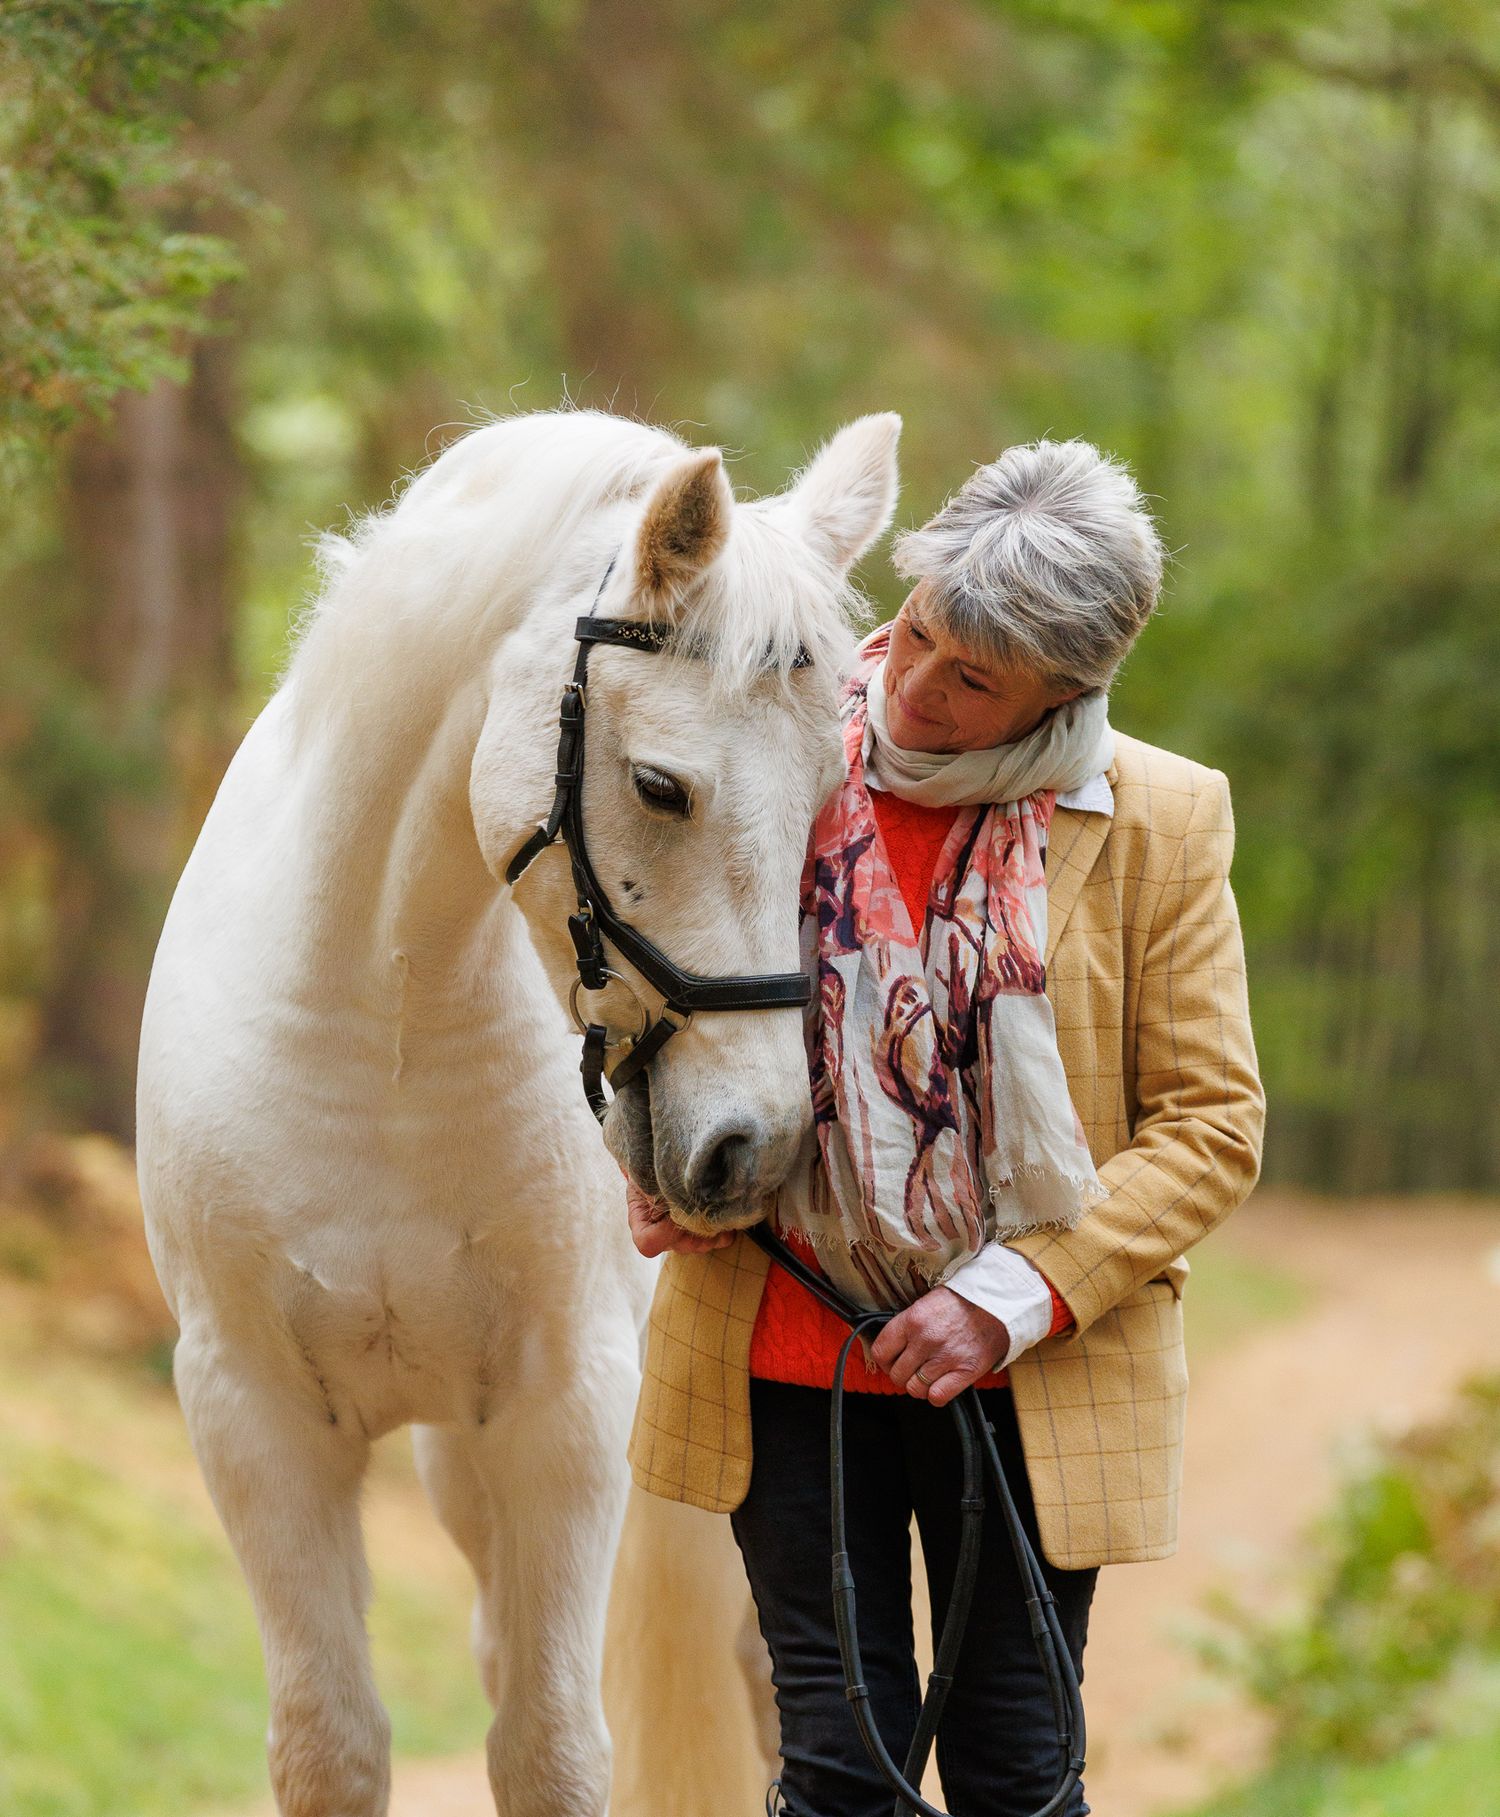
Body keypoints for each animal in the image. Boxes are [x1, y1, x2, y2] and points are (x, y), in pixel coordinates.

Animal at [134, 403, 902, 1816]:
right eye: (659, 785)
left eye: (834, 795)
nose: (753, 1143)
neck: (384, 1021)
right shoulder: (254, 1413)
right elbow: (333, 1746)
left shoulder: (568, 1414)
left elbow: (552, 1746)